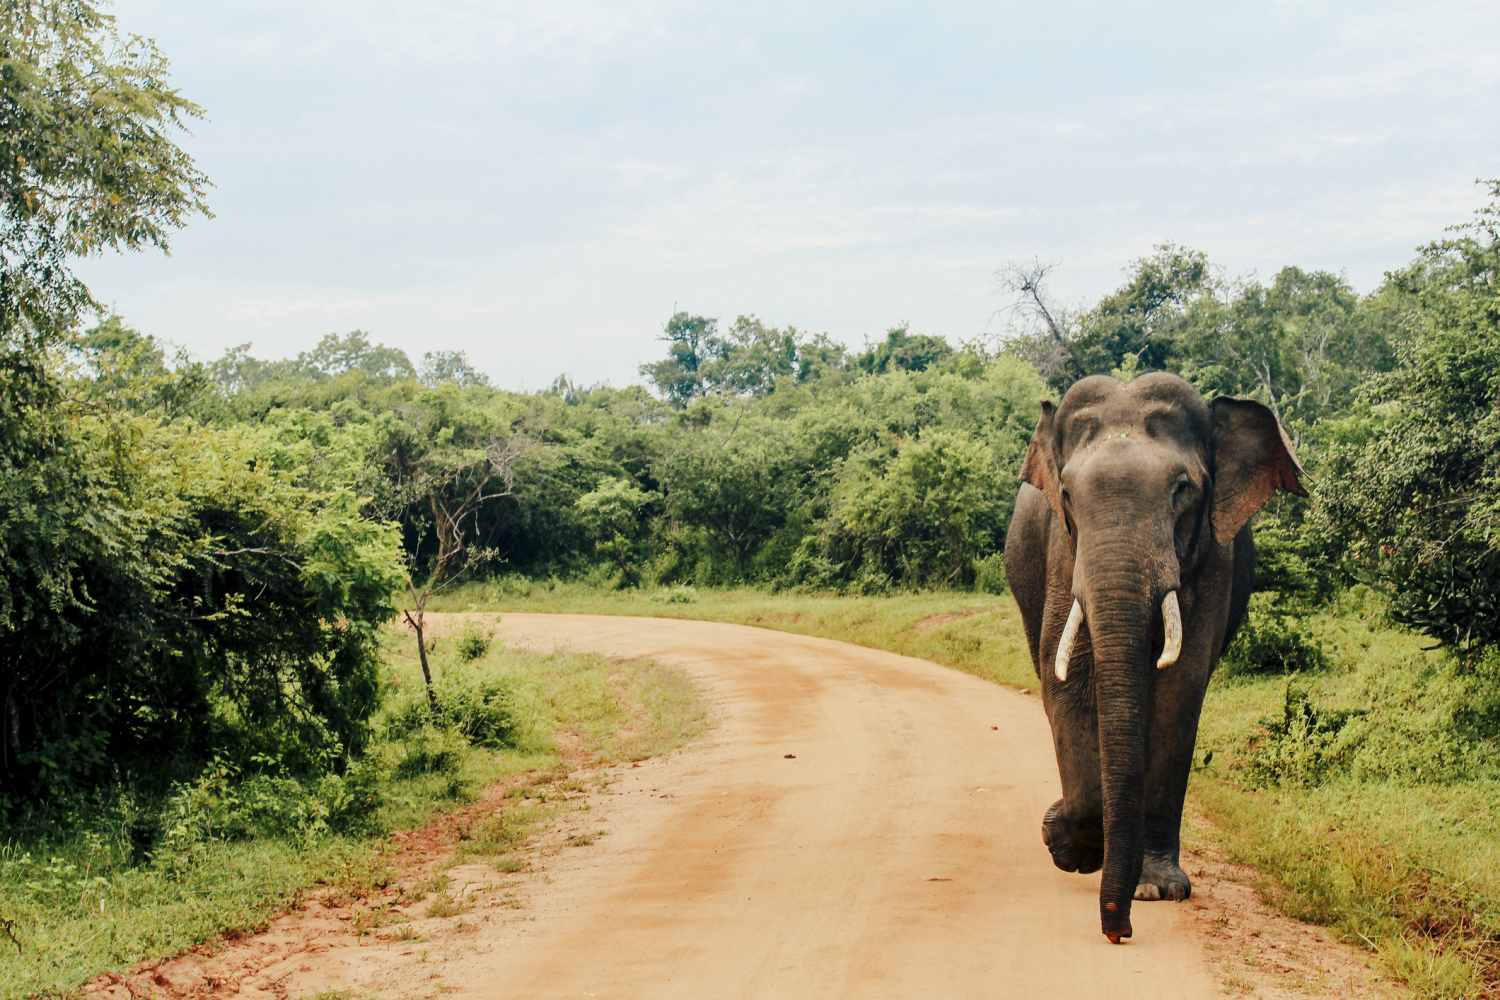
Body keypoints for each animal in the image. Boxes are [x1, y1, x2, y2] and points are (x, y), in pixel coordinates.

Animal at [1002, 371, 1308, 941]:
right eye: (1068, 495)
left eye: (1181, 489)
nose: (1117, 930)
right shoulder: (1063, 552)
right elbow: (1067, 683)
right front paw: (1070, 847)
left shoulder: (1213, 559)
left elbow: (1179, 691)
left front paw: (1156, 889)